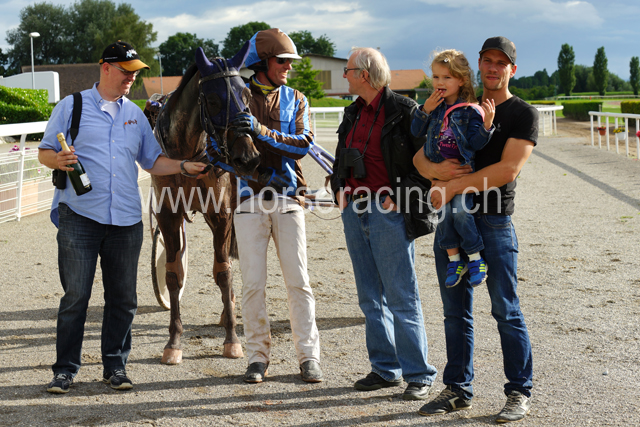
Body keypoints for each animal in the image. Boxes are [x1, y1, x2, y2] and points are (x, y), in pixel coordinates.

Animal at [148, 44, 260, 364]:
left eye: (247, 95)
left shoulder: (221, 214)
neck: (187, 155)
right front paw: (174, 342)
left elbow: (223, 272)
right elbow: (173, 273)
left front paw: (232, 339)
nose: (248, 157)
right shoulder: (168, 215)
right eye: (212, 99)